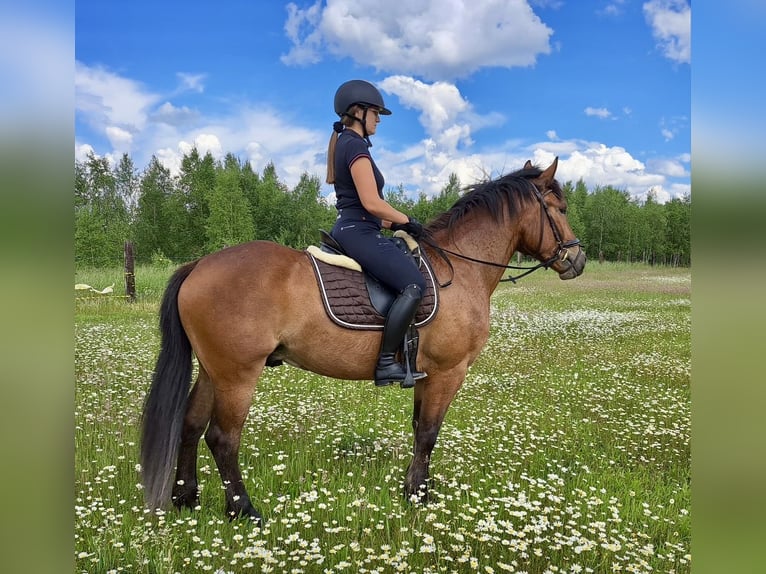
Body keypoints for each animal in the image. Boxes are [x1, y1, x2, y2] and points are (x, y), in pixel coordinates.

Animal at [140, 157, 586, 522]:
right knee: (222, 438)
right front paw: (419, 497)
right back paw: (243, 510)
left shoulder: (425, 374)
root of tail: (200, 264)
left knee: (190, 425)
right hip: (237, 374)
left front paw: (417, 488)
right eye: (560, 209)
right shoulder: (448, 371)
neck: (459, 267)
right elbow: (429, 432)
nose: (577, 260)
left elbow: (418, 429)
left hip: (212, 369)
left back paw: (186, 500)